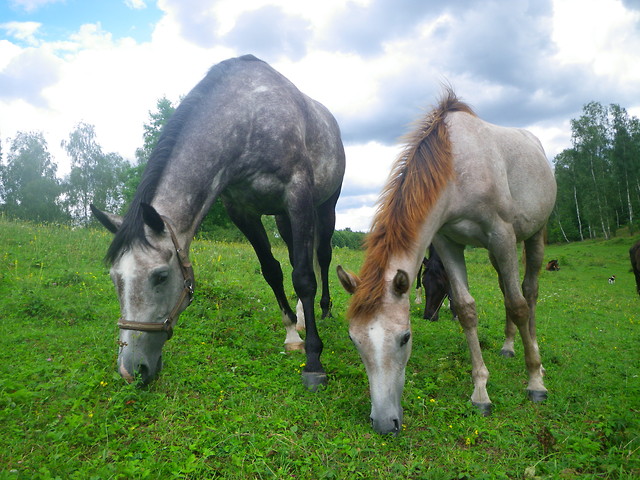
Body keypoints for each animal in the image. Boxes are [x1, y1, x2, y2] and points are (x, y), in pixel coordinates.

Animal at [91, 54, 344, 390]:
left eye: (160, 277)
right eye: (114, 278)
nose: (131, 370)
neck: (248, 120)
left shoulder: (297, 196)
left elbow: (303, 278)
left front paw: (314, 363)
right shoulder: (243, 211)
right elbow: (273, 272)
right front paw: (292, 334)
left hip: (324, 206)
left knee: (322, 257)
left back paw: (325, 310)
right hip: (282, 218)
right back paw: (303, 319)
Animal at [340, 89, 556, 436]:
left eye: (405, 337)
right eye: (354, 339)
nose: (385, 423)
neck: (457, 169)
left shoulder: (501, 234)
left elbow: (519, 305)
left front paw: (534, 382)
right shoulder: (447, 242)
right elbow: (466, 309)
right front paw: (481, 393)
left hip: (533, 236)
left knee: (528, 292)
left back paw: (535, 359)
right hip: (496, 253)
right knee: (506, 290)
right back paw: (509, 347)